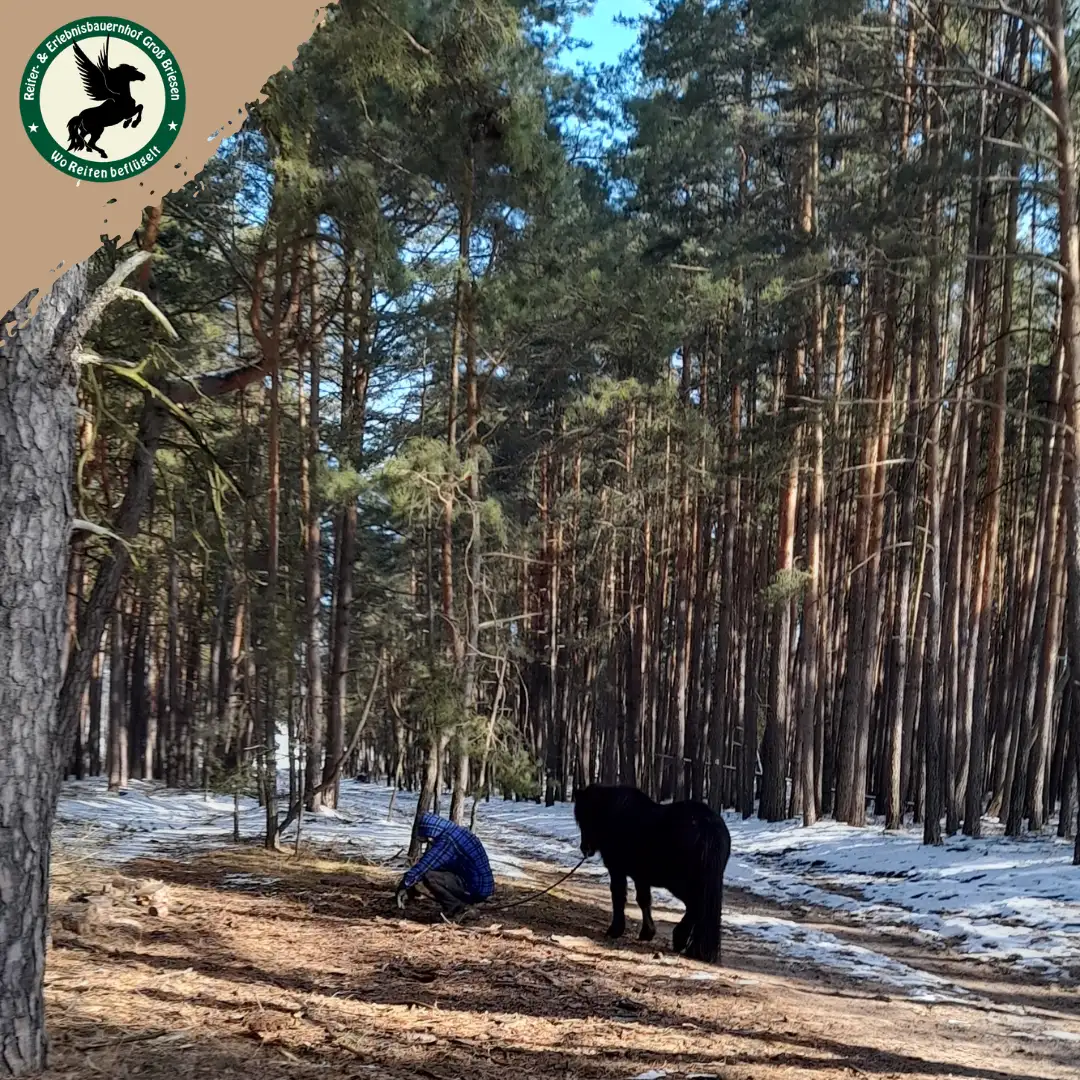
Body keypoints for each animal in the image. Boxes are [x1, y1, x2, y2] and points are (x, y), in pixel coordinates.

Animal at [573, 784, 731, 964]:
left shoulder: (617, 870)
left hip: (681, 883)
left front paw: (615, 930)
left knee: (696, 906)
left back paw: (681, 940)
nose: (585, 848)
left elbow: (619, 896)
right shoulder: (641, 877)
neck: (616, 816)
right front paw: (647, 932)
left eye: (588, 816)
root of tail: (708, 826)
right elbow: (644, 901)